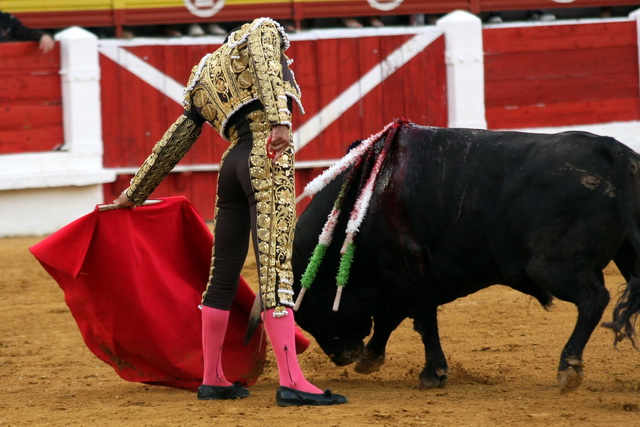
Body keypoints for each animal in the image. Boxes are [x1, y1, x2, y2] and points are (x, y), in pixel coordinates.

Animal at [292, 122, 640, 392]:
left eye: (307, 313)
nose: (342, 357)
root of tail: (613, 151)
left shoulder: (403, 272)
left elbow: (422, 320)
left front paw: (432, 374)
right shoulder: (399, 282)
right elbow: (391, 320)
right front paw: (370, 360)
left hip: (550, 266)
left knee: (594, 299)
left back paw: (568, 367)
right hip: (626, 255)